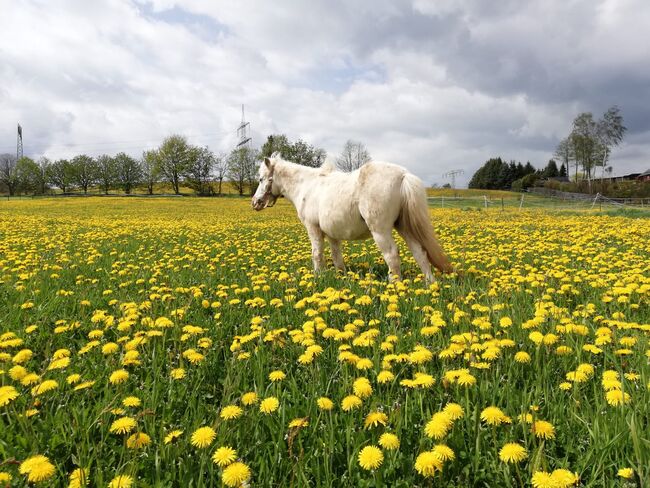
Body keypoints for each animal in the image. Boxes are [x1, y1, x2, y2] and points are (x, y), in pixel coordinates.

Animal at [251, 152, 454, 282]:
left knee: (392, 256)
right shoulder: (332, 234)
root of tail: (403, 175)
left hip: (381, 231)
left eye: (261, 179)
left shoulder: (313, 229)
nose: (255, 203)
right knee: (419, 252)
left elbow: (317, 254)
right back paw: (430, 284)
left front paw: (318, 277)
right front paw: (340, 276)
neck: (307, 185)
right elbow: (336, 256)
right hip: (403, 227)